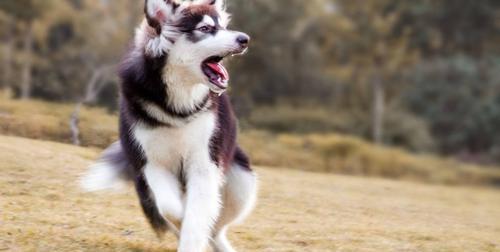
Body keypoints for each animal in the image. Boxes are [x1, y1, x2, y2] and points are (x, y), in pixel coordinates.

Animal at [80, 0, 258, 251]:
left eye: (222, 26)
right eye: (205, 28)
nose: (245, 39)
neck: (176, 107)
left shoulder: (204, 163)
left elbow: (197, 216)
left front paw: (191, 235)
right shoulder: (153, 163)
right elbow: (171, 209)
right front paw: (181, 220)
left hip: (241, 180)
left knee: (217, 230)